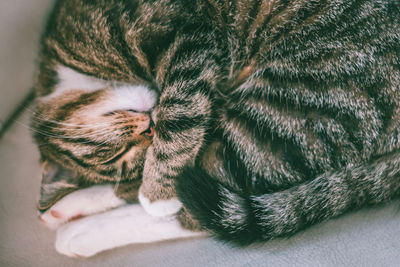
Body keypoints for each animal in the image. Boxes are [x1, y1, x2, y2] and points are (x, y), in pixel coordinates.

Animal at [32, 0, 400, 258]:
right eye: (120, 154)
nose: (149, 129)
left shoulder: (186, 41)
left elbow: (179, 115)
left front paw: (155, 195)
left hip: (297, 102)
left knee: (201, 206)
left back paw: (85, 232)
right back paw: (71, 209)